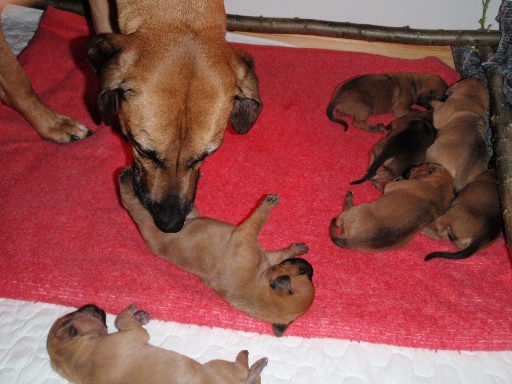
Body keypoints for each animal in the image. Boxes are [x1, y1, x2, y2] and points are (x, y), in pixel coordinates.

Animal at [47, 304, 268, 384]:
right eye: (76, 313)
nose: (94, 307)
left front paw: (140, 315)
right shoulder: (133, 335)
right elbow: (121, 320)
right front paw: (131, 310)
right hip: (217, 365)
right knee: (245, 372)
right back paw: (250, 360)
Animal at [118, 166, 314, 334]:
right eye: (304, 273)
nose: (309, 267)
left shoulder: (253, 245)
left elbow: (264, 230)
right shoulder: (249, 238)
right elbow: (261, 222)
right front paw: (295, 246)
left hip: (169, 217)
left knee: (132, 201)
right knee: (131, 200)